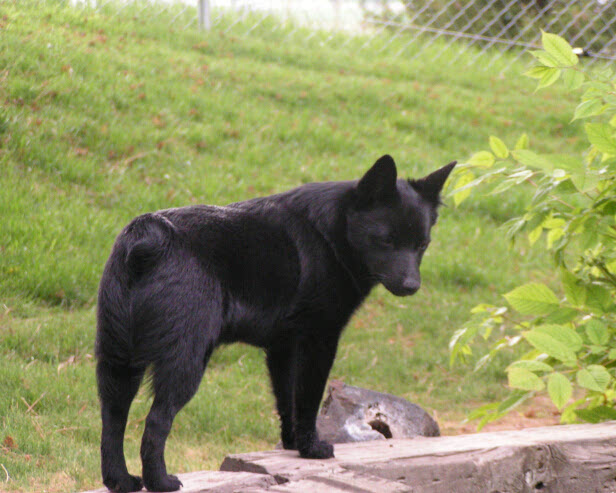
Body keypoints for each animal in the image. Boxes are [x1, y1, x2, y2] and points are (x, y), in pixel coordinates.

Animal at [95, 153, 452, 488]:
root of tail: (149, 237)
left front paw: (293, 444)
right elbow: (307, 399)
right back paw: (161, 482)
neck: (332, 234)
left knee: (112, 420)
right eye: (387, 241)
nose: (411, 286)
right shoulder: (318, 341)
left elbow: (286, 399)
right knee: (156, 422)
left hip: (118, 363)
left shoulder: (283, 348)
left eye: (422, 244)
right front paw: (312, 448)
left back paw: (121, 481)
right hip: (185, 362)